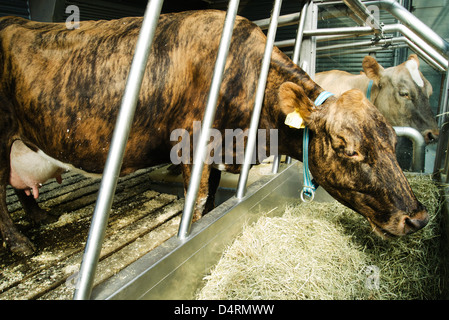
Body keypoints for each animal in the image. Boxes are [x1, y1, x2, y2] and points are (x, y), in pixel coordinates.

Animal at [0, 10, 428, 256]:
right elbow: (198, 201)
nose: (418, 218)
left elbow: (208, 204)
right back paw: (22, 245)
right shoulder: (193, 148)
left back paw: (40, 216)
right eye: (346, 148)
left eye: (393, 141)